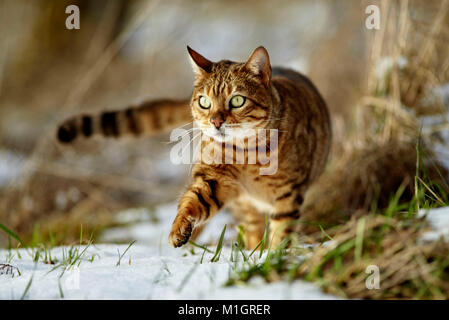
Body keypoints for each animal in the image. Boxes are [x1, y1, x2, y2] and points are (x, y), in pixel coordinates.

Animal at [56, 46, 330, 249]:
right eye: (204, 102)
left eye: (237, 100)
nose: (216, 122)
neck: (246, 152)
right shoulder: (214, 178)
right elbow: (192, 200)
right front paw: (179, 230)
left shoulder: (288, 195)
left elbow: (282, 234)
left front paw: (272, 260)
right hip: (243, 204)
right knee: (251, 227)